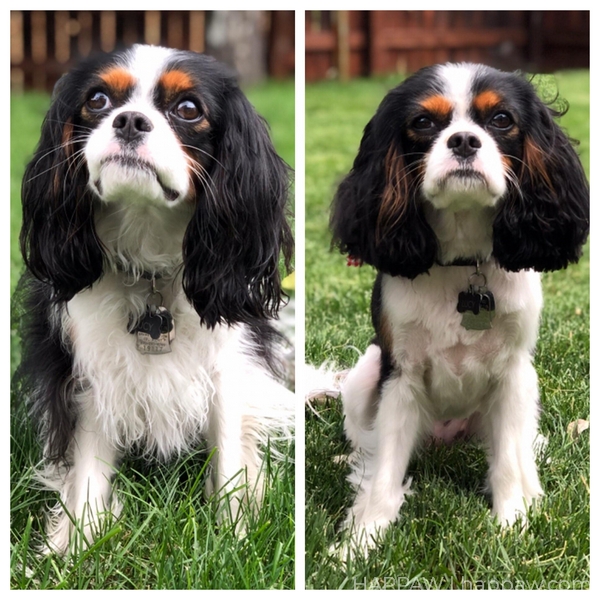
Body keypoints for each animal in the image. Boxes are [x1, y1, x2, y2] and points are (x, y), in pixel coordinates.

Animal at [15, 45, 294, 552]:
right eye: (98, 100)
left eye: (188, 109)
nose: (129, 120)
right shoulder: (89, 376)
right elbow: (87, 467)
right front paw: (76, 545)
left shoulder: (229, 364)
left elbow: (229, 454)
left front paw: (234, 535)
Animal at [330, 63, 588, 556]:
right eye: (424, 122)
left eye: (502, 119)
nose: (464, 140)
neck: (464, 263)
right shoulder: (400, 377)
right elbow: (386, 470)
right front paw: (363, 539)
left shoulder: (512, 374)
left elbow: (507, 460)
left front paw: (511, 524)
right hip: (364, 375)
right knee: (368, 443)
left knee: (521, 449)